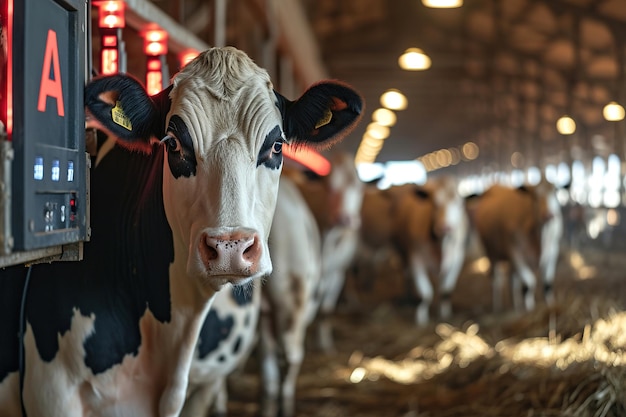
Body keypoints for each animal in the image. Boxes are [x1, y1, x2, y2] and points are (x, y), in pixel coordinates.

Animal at [356, 176, 468, 324]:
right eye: (433, 203)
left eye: (460, 204)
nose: (444, 227)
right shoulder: (416, 258)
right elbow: (426, 293)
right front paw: (421, 318)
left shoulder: (457, 258)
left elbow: (446, 290)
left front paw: (445, 314)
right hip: (401, 251)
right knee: (405, 275)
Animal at [464, 179, 560, 312]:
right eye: (534, 196)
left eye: (555, 191)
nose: (548, 214)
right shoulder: (516, 254)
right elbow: (529, 283)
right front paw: (530, 309)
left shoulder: (552, 252)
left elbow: (547, 284)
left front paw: (550, 305)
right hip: (491, 253)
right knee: (496, 279)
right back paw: (497, 307)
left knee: (512, 280)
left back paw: (516, 306)